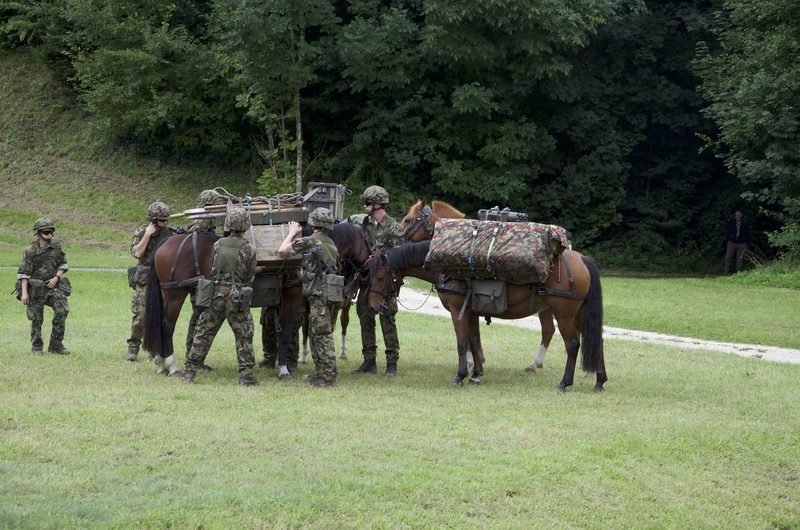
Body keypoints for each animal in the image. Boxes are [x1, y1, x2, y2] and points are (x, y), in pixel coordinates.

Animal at [366, 240, 607, 391]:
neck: (445, 268)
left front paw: (460, 376)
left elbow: (462, 343)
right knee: (598, 341)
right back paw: (600, 381)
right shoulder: (471, 313)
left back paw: (565, 383)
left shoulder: (459, 312)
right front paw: (476, 374)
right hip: (580, 314)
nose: (373, 304)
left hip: (564, 315)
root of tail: (582, 259)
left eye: (379, 277)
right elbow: (474, 341)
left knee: (573, 345)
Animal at [400, 199, 556, 372]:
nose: (397, 238)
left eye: (407, 219)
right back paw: (535, 364)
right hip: (546, 308)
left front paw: (469, 364)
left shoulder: (462, 308)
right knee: (549, 329)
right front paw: (476, 362)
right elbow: (472, 338)